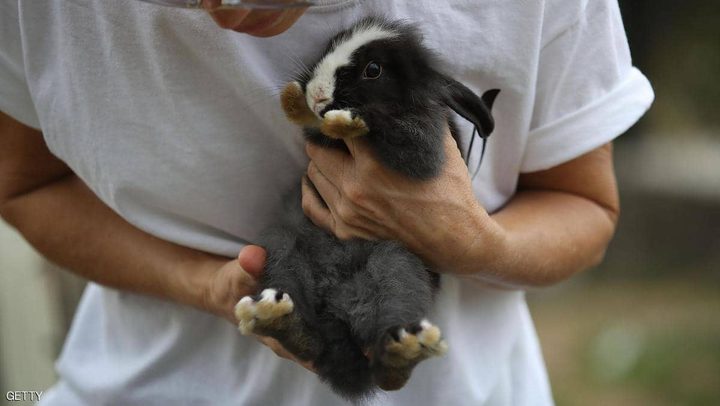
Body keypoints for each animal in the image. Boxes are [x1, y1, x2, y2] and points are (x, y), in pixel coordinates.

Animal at [236, 16, 500, 400]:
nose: (317, 93)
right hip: (282, 249)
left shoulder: (424, 143)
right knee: (307, 331)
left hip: (397, 265)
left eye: (372, 70)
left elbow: (398, 136)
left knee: (386, 347)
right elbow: (315, 129)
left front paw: (348, 120)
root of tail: (337, 312)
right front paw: (294, 100)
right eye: (329, 47)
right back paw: (280, 320)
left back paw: (401, 352)